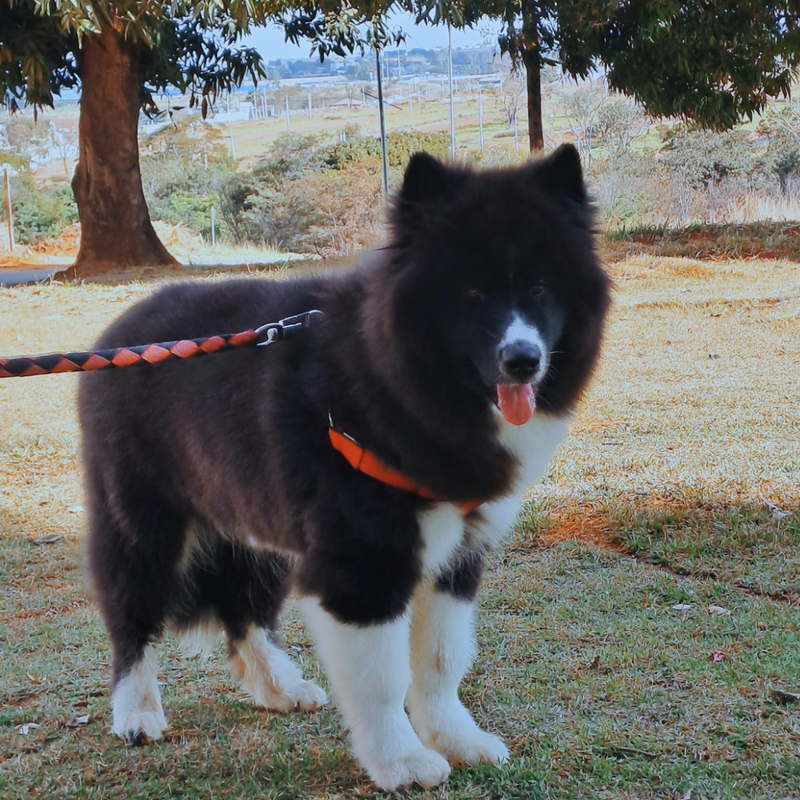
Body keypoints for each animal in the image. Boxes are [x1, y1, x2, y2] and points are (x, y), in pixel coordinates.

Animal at [79, 147, 608, 792]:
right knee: (133, 614)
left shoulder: (455, 558)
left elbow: (441, 660)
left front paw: (458, 739)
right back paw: (136, 714)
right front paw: (402, 762)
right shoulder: (361, 562)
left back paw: (280, 687)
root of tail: (115, 338)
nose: (524, 360)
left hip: (248, 519)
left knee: (244, 606)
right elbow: (383, 678)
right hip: (145, 524)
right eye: (472, 291)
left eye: (539, 286)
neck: (399, 388)